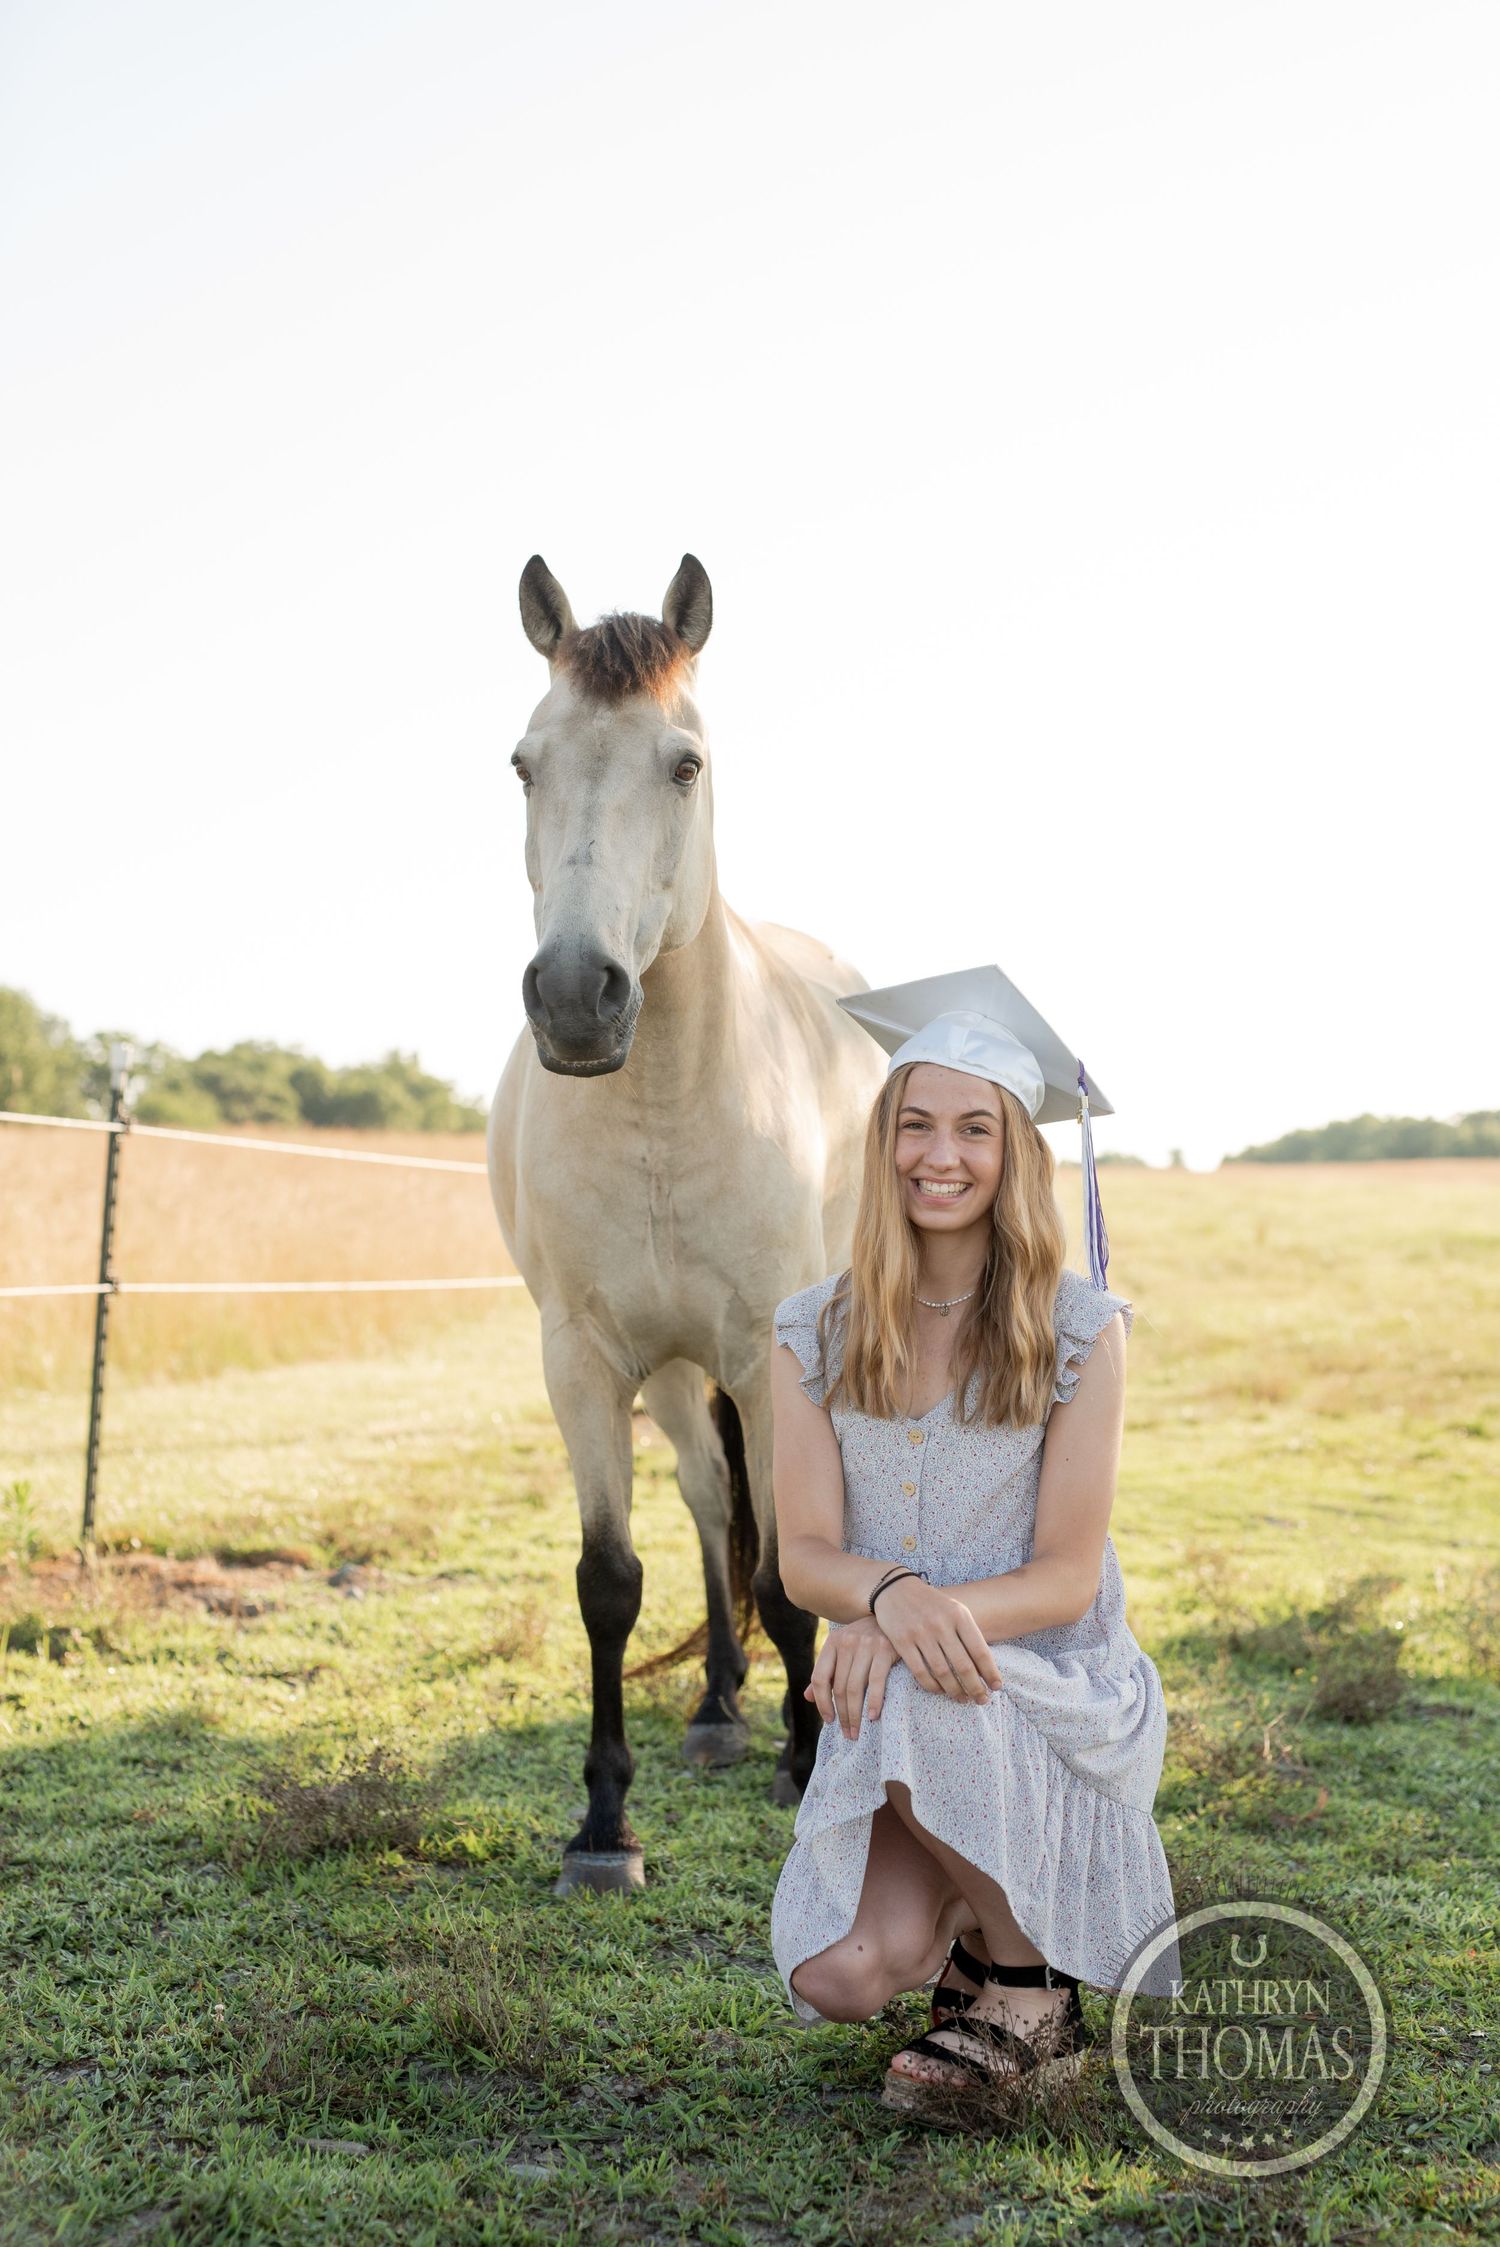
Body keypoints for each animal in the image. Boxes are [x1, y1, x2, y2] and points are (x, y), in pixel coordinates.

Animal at [487, 553, 885, 1894]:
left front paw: (808, 1765)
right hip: (666, 1372)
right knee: (713, 1503)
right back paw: (715, 1707)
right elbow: (610, 1581)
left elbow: (793, 1574)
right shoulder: (581, 1361)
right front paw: (605, 1827)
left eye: (685, 763)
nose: (575, 997)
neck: (662, 1102)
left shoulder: (768, 1358)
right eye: (526, 764)